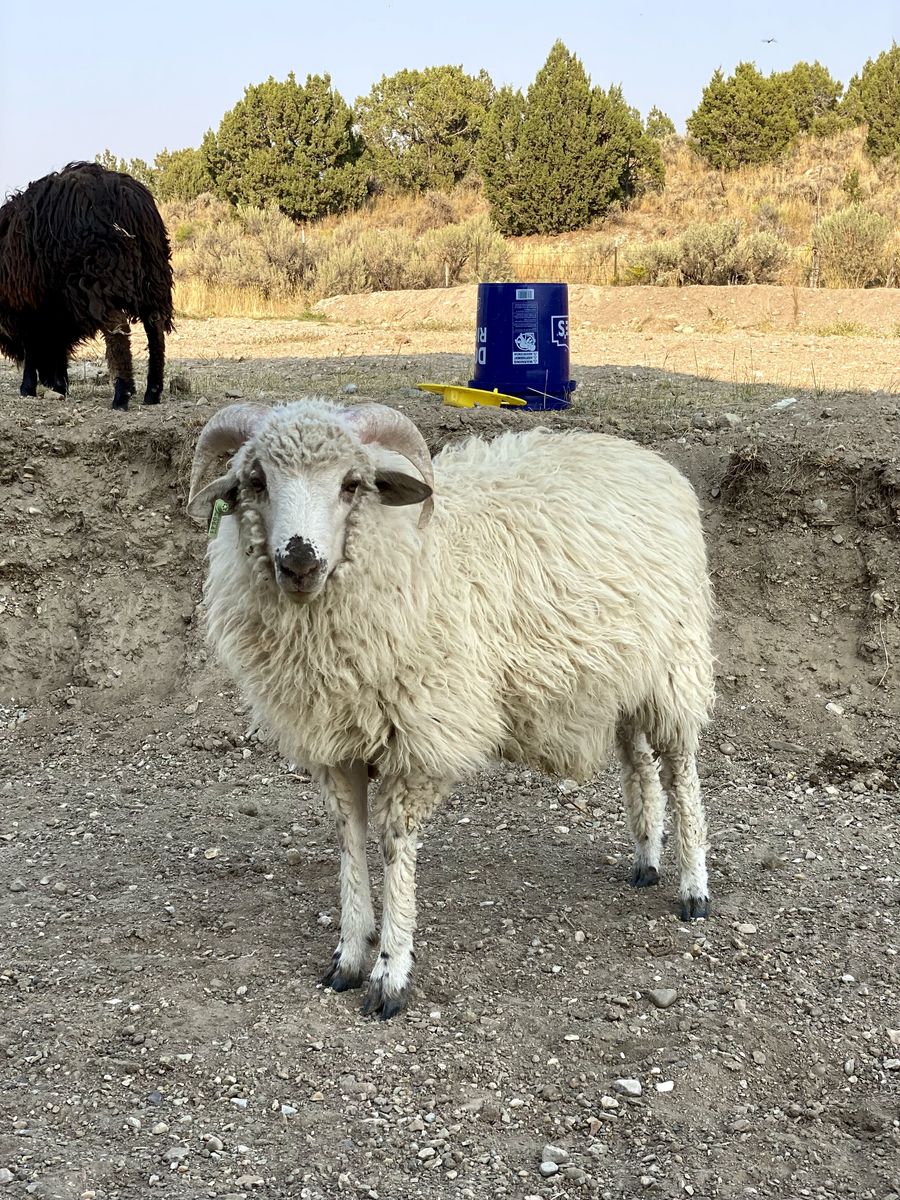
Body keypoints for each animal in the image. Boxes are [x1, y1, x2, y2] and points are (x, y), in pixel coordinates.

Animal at [0, 162, 174, 410]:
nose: (48, 380)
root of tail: (129, 199)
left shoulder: (29, 304)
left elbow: (34, 345)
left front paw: (29, 387)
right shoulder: (54, 306)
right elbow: (57, 342)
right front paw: (59, 385)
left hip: (97, 281)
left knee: (118, 328)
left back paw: (121, 396)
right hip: (154, 276)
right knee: (155, 328)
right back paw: (152, 392)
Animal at [188, 398, 715, 1019]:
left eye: (351, 484)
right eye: (256, 481)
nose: (298, 561)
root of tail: (650, 460)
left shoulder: (422, 737)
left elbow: (394, 845)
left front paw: (390, 973)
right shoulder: (335, 742)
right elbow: (349, 840)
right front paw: (349, 954)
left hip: (673, 666)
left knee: (680, 772)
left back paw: (693, 888)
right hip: (621, 678)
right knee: (637, 762)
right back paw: (646, 860)